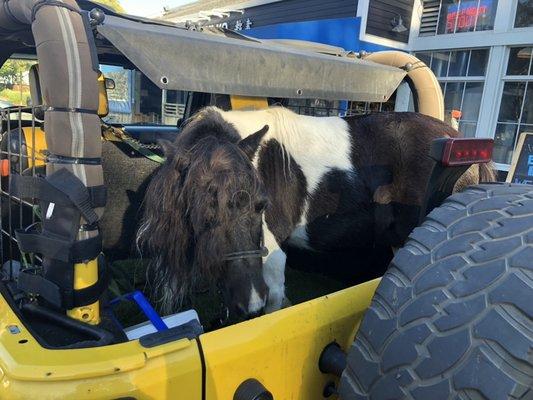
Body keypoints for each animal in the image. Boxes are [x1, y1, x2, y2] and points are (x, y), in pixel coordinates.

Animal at [137, 106, 494, 318]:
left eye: (262, 205)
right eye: (202, 214)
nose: (249, 303)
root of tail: (460, 139)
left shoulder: (271, 253)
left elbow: (273, 303)